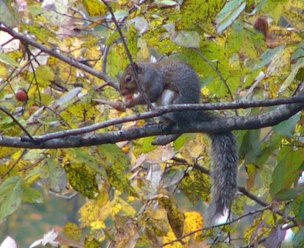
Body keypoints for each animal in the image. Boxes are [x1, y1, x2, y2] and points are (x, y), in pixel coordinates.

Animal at [119, 59, 238, 217]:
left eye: (128, 78)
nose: (121, 92)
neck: (144, 76)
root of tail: (191, 116)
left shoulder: (154, 80)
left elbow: (152, 95)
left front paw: (131, 101)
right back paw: (160, 124)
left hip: (172, 101)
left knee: (178, 123)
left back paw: (170, 124)